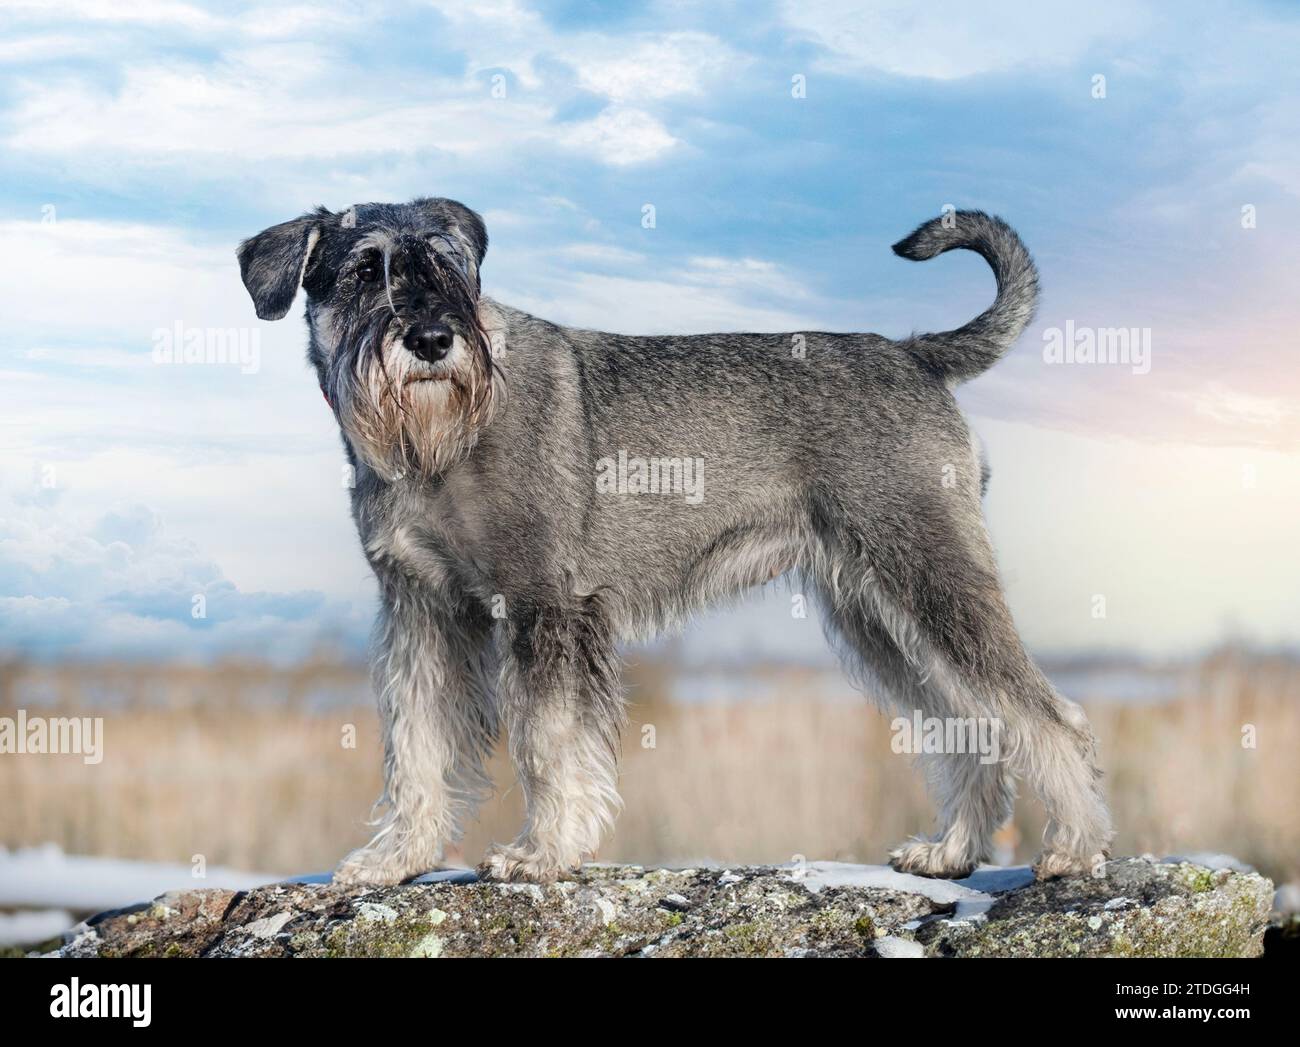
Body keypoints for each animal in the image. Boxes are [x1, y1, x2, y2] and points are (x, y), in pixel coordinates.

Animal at [239, 197, 1112, 884]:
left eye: (455, 271)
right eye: (363, 272)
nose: (429, 338)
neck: (441, 442)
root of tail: (915, 353)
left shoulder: (545, 603)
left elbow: (548, 741)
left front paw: (541, 851)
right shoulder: (422, 610)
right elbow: (415, 742)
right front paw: (396, 857)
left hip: (929, 573)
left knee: (1045, 713)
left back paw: (1074, 846)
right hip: (879, 612)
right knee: (966, 720)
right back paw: (953, 849)